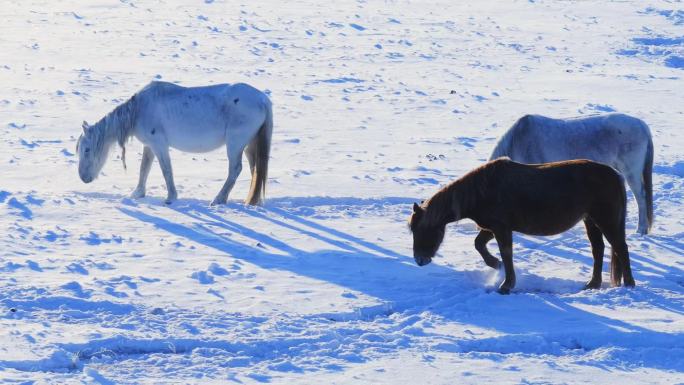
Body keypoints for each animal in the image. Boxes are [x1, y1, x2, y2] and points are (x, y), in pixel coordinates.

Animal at [77, 81, 272, 206]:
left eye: (87, 150)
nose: (83, 178)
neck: (138, 110)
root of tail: (263, 100)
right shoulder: (149, 146)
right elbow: (144, 169)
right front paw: (137, 193)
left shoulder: (159, 144)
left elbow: (166, 170)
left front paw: (171, 197)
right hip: (250, 144)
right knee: (256, 169)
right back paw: (252, 200)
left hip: (235, 143)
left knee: (235, 169)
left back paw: (219, 199)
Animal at [406, 158, 636, 292]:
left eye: (423, 229)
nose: (419, 260)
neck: (483, 190)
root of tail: (616, 175)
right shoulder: (492, 228)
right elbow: (479, 245)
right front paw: (495, 264)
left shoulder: (501, 229)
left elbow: (506, 253)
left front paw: (506, 285)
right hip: (591, 221)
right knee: (599, 249)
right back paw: (593, 284)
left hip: (605, 220)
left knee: (620, 247)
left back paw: (629, 284)